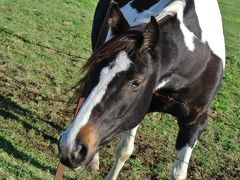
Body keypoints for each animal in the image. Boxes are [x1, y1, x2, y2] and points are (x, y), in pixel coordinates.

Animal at [58, 0, 225, 179]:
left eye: (136, 82)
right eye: (95, 67)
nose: (70, 147)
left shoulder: (195, 121)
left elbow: (179, 173)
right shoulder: (138, 110)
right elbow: (124, 151)